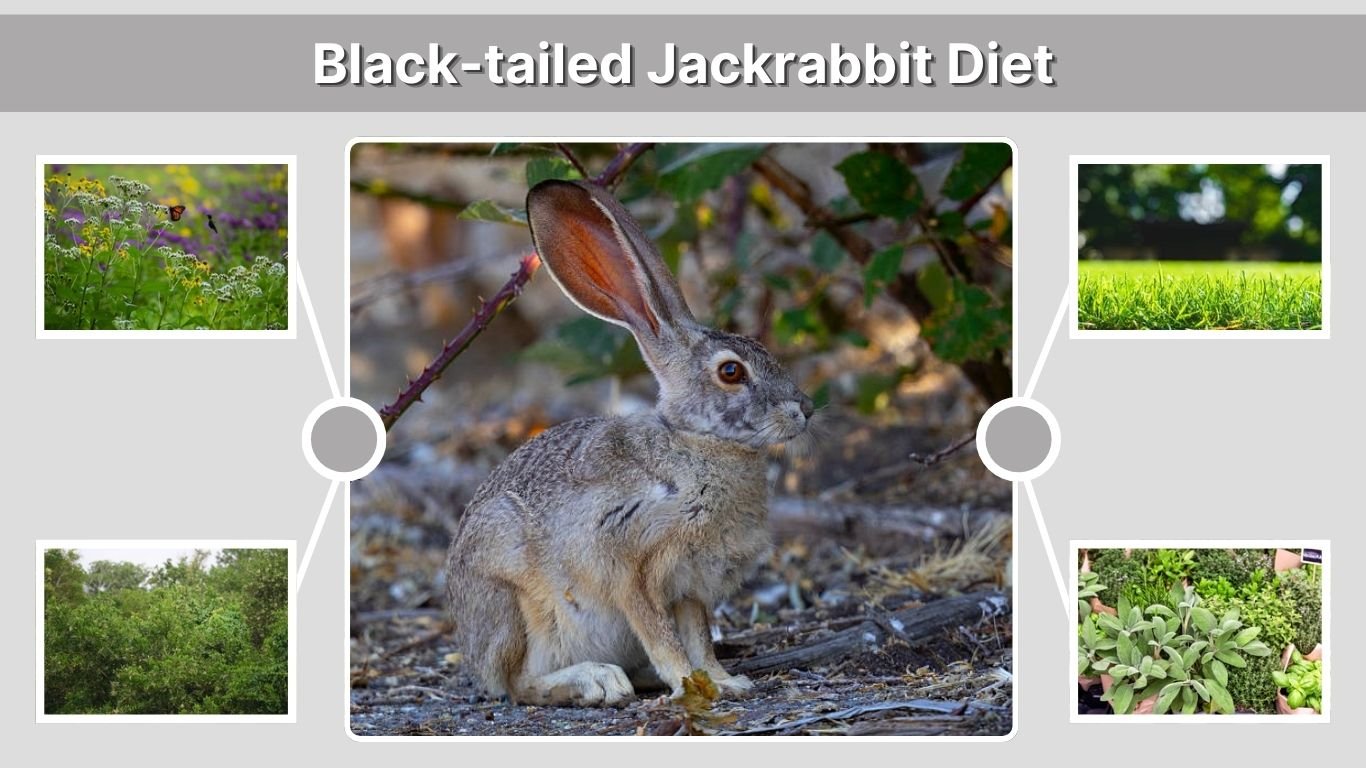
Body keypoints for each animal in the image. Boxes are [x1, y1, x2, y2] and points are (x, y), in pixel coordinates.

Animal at [445, 179, 814, 707]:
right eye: (731, 371)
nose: (804, 409)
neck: (697, 445)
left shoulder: (688, 587)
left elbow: (698, 637)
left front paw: (722, 681)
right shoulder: (633, 565)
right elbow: (660, 634)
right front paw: (686, 682)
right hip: (516, 600)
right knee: (519, 683)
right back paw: (597, 681)